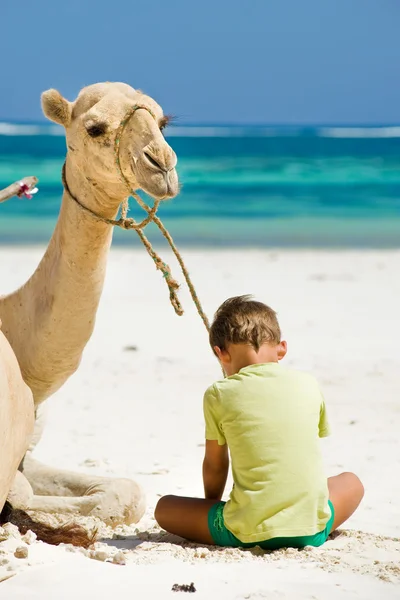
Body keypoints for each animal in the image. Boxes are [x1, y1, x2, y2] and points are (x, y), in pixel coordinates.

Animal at [0, 81, 178, 540]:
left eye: (162, 120)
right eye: (95, 128)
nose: (162, 164)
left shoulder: (30, 445)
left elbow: (127, 491)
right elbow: (24, 492)